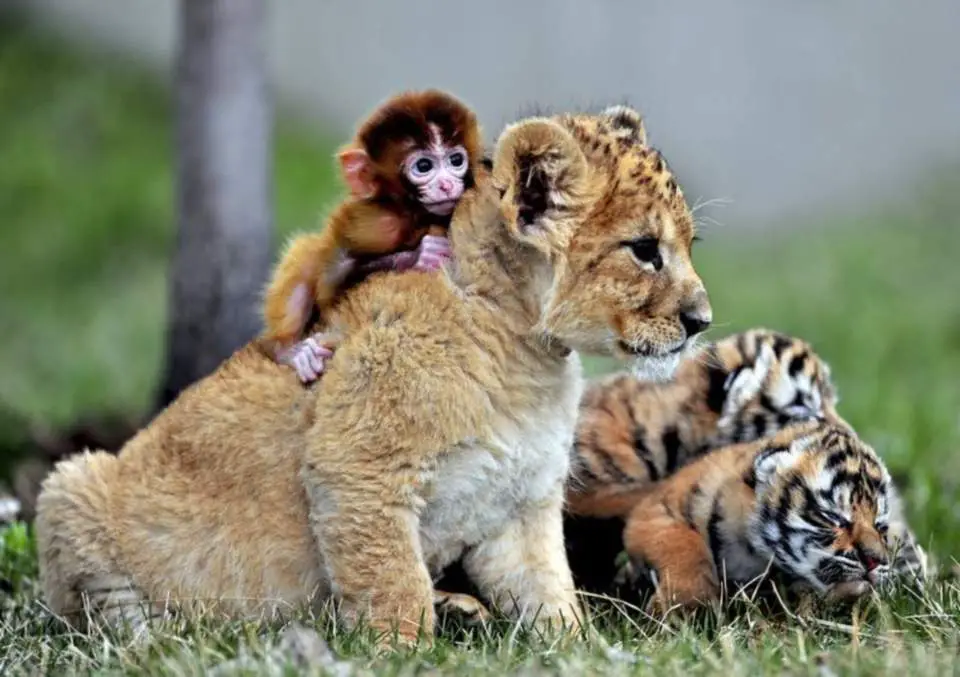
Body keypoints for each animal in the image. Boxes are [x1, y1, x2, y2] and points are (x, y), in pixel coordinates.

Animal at [262, 91, 484, 380]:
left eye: (456, 160)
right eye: (424, 165)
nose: (446, 184)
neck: (414, 214)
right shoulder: (377, 225)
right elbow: (330, 285)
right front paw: (421, 255)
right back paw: (288, 351)